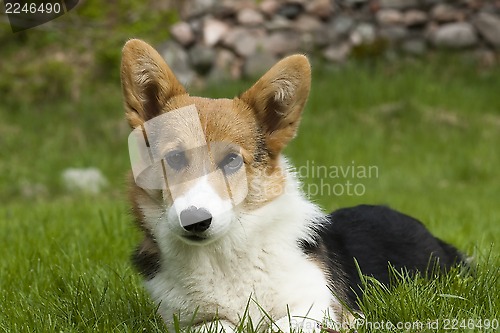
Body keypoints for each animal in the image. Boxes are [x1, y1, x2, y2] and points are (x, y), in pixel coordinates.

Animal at [121, 39, 464, 332]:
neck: (223, 254)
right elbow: (216, 325)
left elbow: (281, 325)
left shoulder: (319, 309)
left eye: (231, 160)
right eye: (174, 158)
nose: (195, 221)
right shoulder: (188, 320)